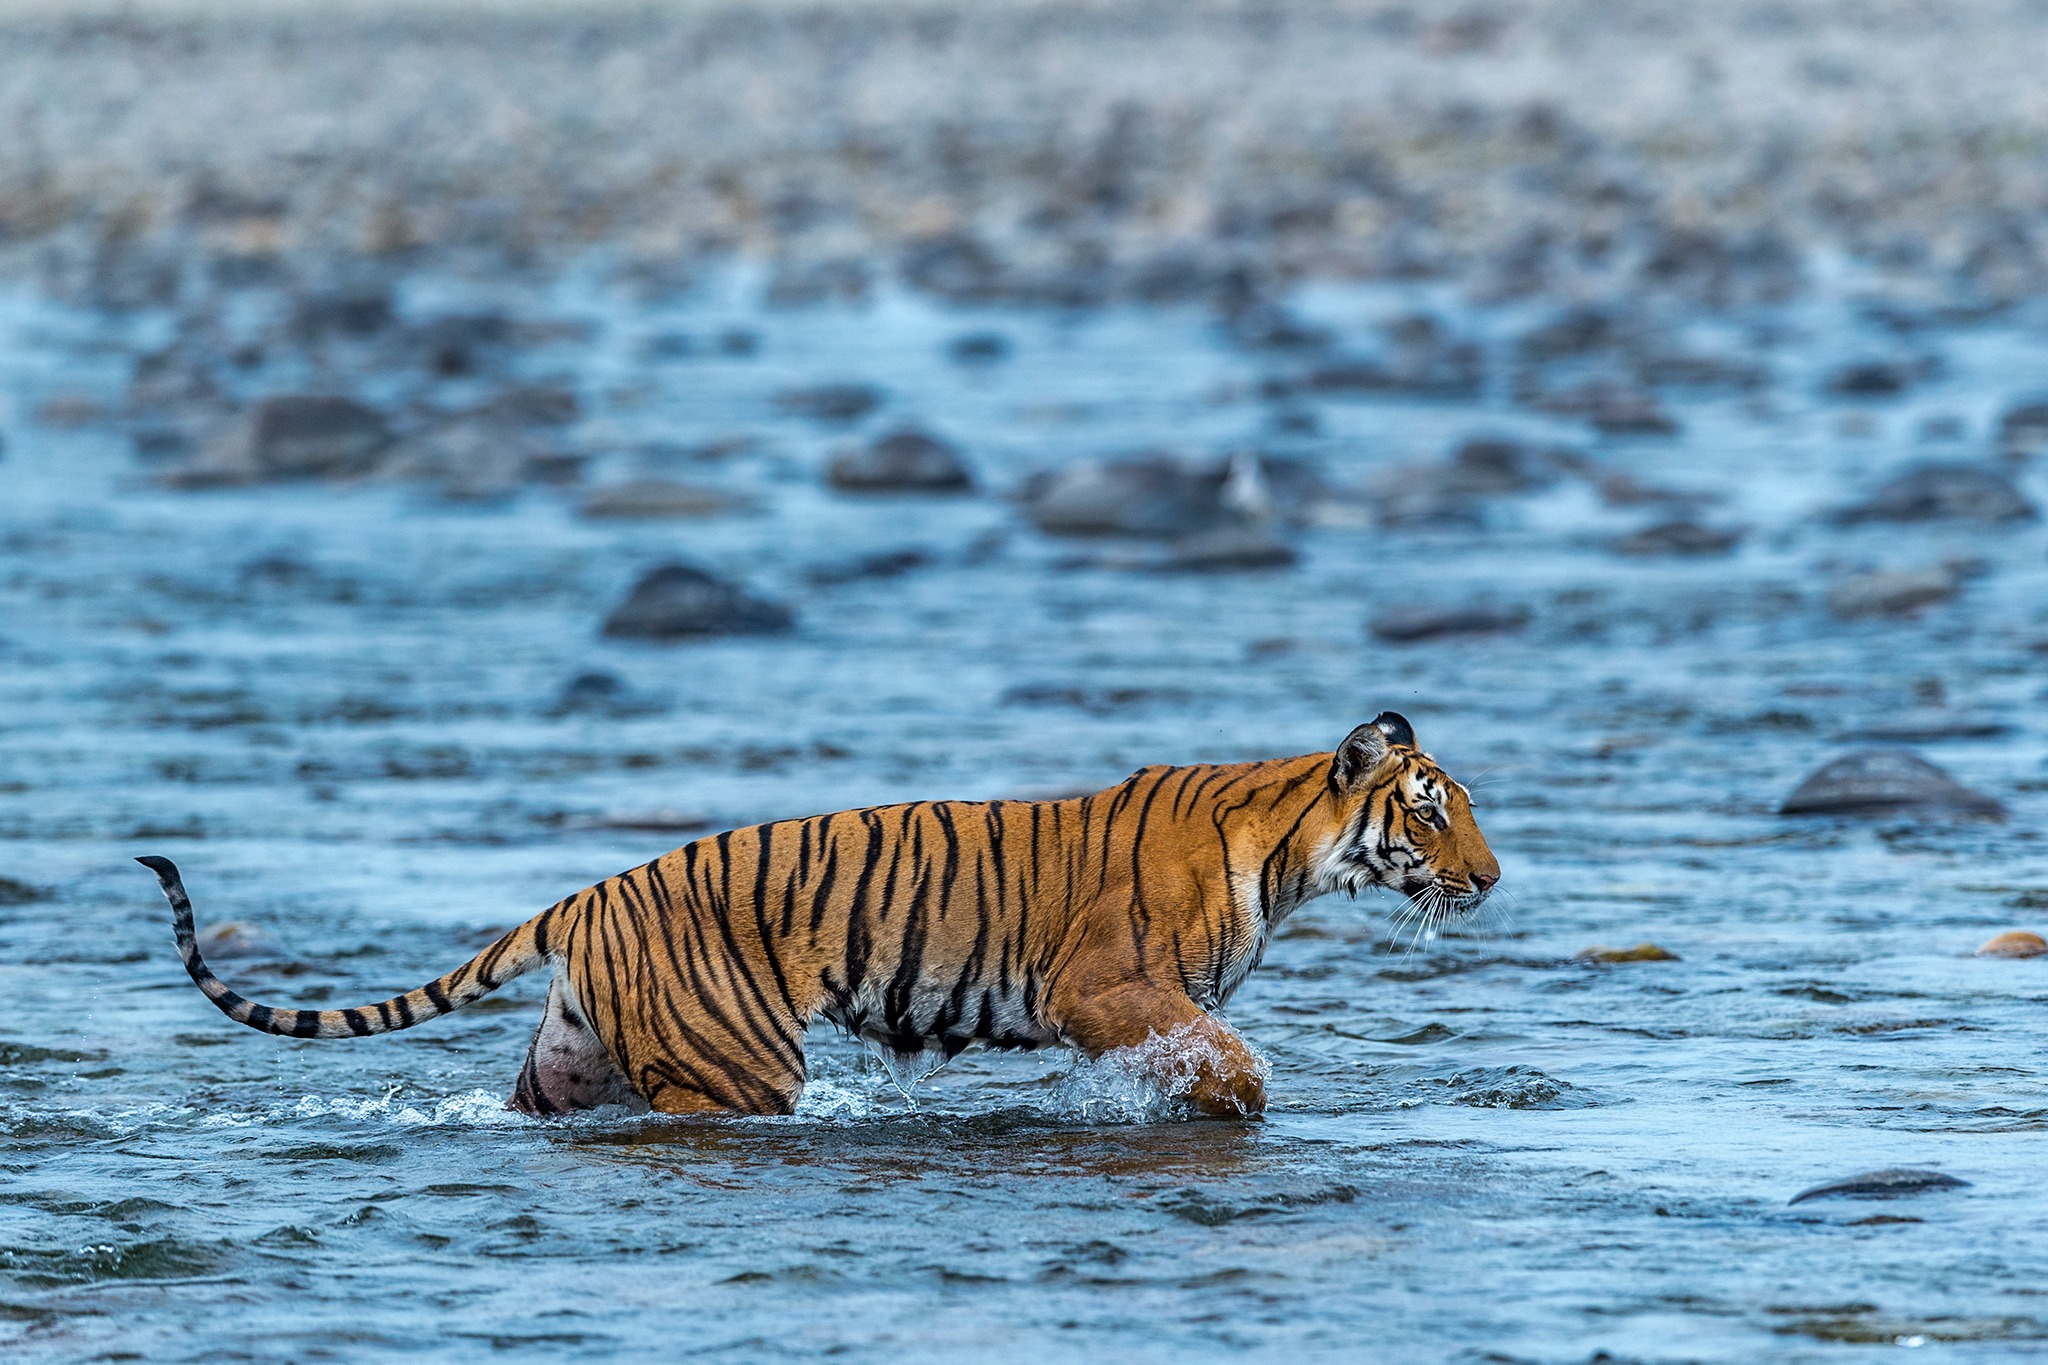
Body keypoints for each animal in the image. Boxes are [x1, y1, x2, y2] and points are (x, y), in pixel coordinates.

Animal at [140, 716, 1490, 1121]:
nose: (1485, 880)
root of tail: (589, 892)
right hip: (736, 1064)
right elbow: (1233, 1061)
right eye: (1430, 814)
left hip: (568, 1062)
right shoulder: (1104, 990)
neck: (1291, 854)